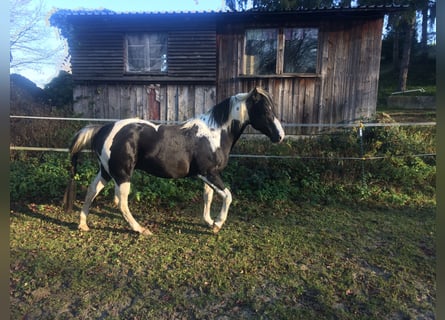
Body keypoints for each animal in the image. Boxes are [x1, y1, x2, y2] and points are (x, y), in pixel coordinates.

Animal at [63, 87, 282, 235]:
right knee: (121, 202)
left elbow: (208, 197)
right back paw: (141, 229)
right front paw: (218, 224)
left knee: (92, 190)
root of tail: (103, 129)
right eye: (265, 110)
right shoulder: (209, 174)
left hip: (107, 171)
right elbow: (227, 195)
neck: (215, 133)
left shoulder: (207, 175)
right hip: (122, 174)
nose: (279, 136)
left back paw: (83, 224)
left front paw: (209, 222)